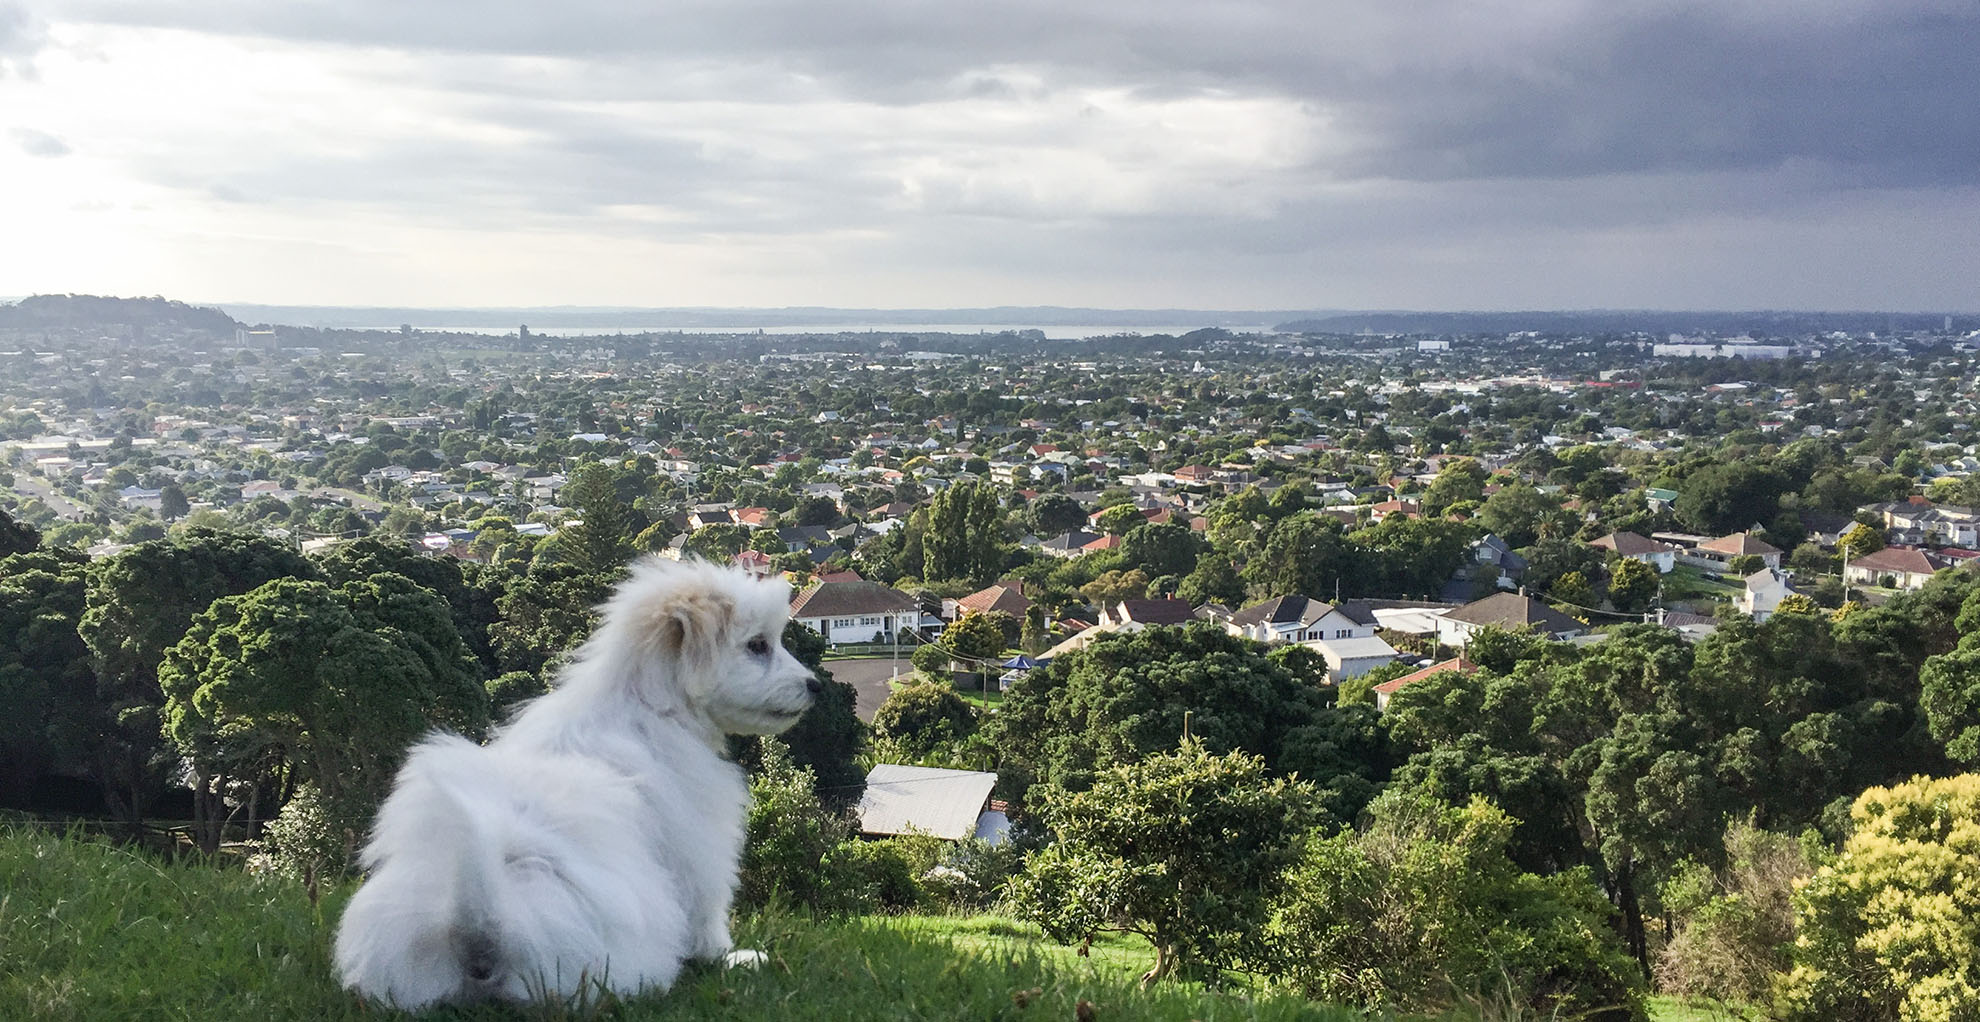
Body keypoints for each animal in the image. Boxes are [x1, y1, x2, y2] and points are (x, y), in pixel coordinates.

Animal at [332, 554, 819, 1010]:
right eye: (757, 645)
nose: (814, 685)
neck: (647, 703)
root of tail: (481, 923)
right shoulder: (697, 847)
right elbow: (706, 913)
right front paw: (728, 958)